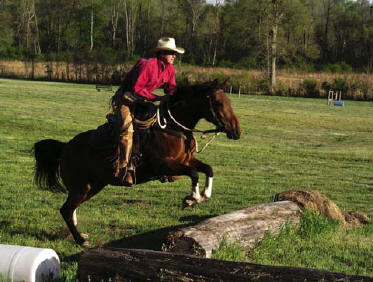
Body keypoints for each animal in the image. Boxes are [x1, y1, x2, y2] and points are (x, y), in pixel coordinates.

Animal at [32, 80, 241, 247]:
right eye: (218, 103)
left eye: (230, 102)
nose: (236, 131)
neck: (172, 128)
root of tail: (65, 147)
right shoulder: (164, 166)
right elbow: (194, 173)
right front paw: (192, 199)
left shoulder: (186, 161)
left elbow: (207, 169)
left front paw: (204, 195)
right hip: (81, 188)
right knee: (66, 210)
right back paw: (81, 240)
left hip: (93, 186)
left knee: (71, 209)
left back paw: (79, 234)